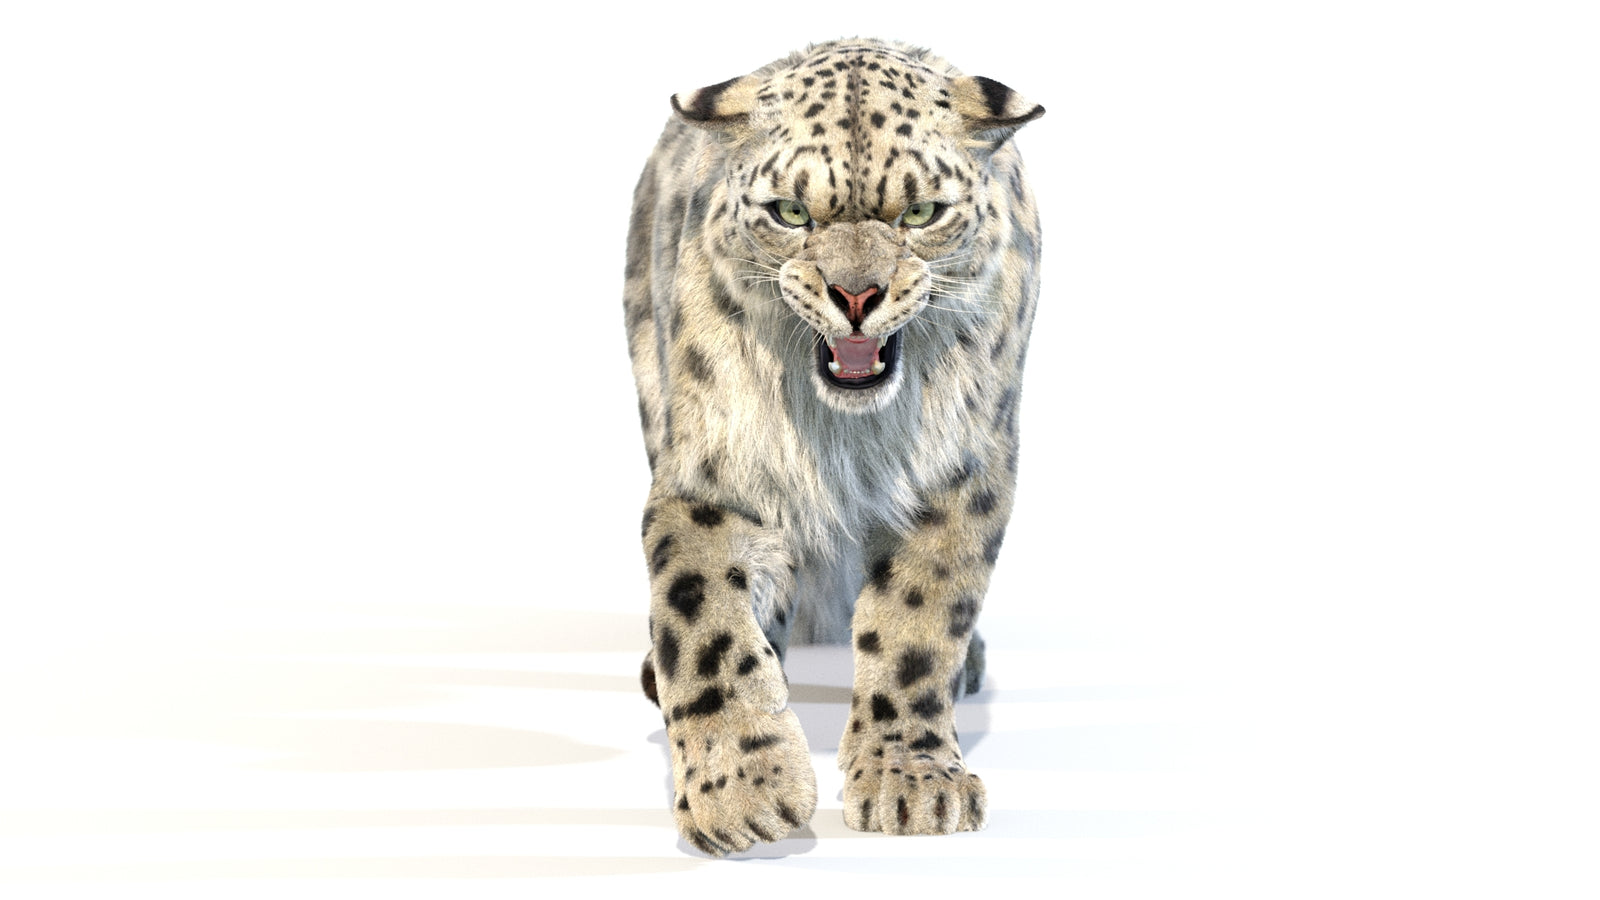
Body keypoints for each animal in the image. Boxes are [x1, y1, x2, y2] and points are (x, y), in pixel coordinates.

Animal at [623, 38, 1044, 856]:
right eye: (790, 212)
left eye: (921, 212)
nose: (855, 295)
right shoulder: (711, 478)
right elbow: (705, 623)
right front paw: (743, 795)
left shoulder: (959, 472)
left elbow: (920, 621)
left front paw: (912, 782)